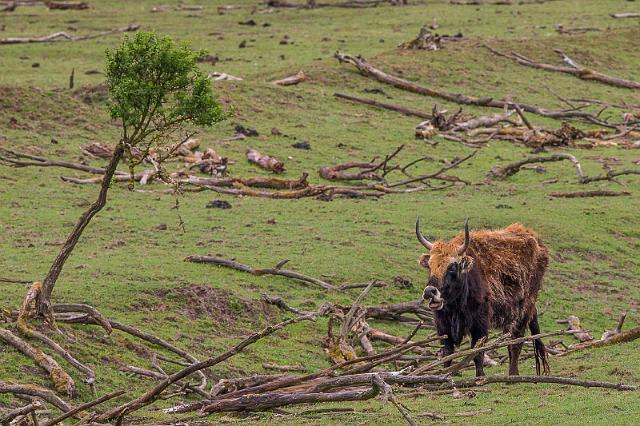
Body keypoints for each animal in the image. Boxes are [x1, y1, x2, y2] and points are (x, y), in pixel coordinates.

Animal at [416, 220, 552, 376]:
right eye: (430, 266)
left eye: (452, 267)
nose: (429, 291)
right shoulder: (443, 328)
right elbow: (447, 354)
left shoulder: (479, 325)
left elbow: (477, 353)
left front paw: (480, 376)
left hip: (524, 311)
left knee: (516, 342)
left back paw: (513, 374)